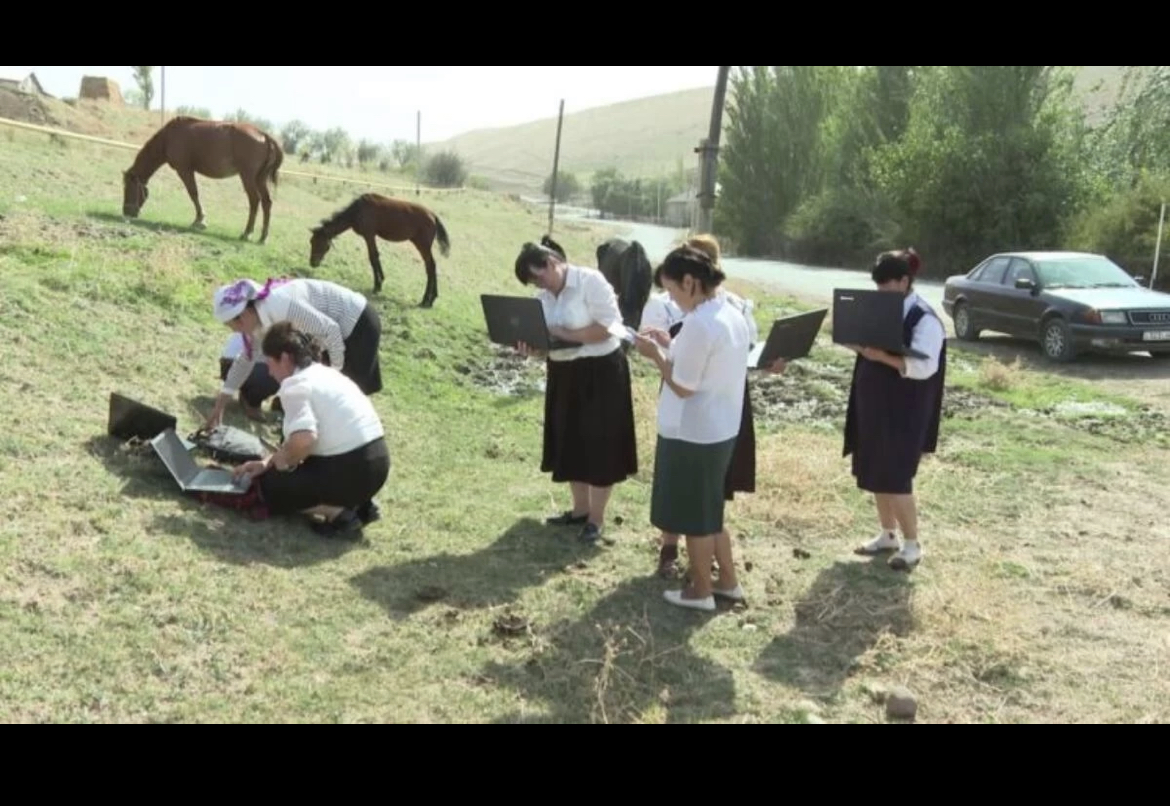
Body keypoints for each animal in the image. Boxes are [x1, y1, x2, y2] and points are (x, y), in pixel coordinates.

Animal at [121, 116, 283, 242]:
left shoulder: (184, 170)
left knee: (254, 201)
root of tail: (264, 135)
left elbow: (193, 193)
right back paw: (263, 237)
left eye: (128, 188)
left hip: (248, 177)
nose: (126, 211)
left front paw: (200, 220)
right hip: (259, 179)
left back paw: (247, 233)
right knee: (267, 202)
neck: (168, 137)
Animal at [311, 193, 451, 308]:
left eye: (319, 244)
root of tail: (433, 216)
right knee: (431, 267)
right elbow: (375, 257)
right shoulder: (371, 236)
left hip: (423, 246)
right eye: (311, 242)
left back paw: (426, 300)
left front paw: (377, 286)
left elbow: (373, 257)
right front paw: (380, 282)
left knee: (431, 266)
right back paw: (431, 299)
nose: (312, 263)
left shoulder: (369, 235)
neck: (358, 210)